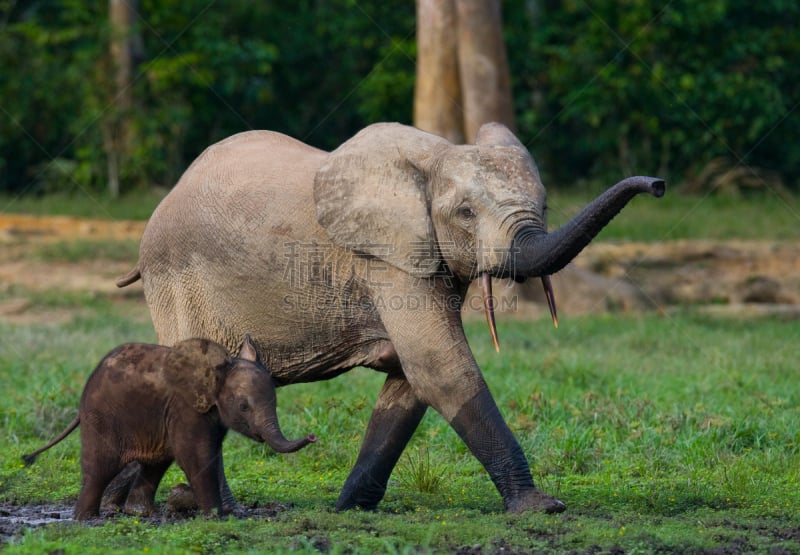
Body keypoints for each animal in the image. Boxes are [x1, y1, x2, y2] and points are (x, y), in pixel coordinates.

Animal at [21, 334, 316, 520]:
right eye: (244, 407)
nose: (313, 436)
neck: (216, 369)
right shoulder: (185, 408)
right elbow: (196, 456)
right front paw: (216, 516)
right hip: (102, 419)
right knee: (101, 468)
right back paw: (85, 518)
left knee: (156, 462)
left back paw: (140, 514)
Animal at [114, 124, 664, 516]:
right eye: (465, 213)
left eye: (546, 205)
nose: (658, 184)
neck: (434, 158)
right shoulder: (386, 260)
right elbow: (439, 368)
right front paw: (542, 508)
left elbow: (410, 378)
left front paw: (348, 509)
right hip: (177, 280)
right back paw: (215, 509)